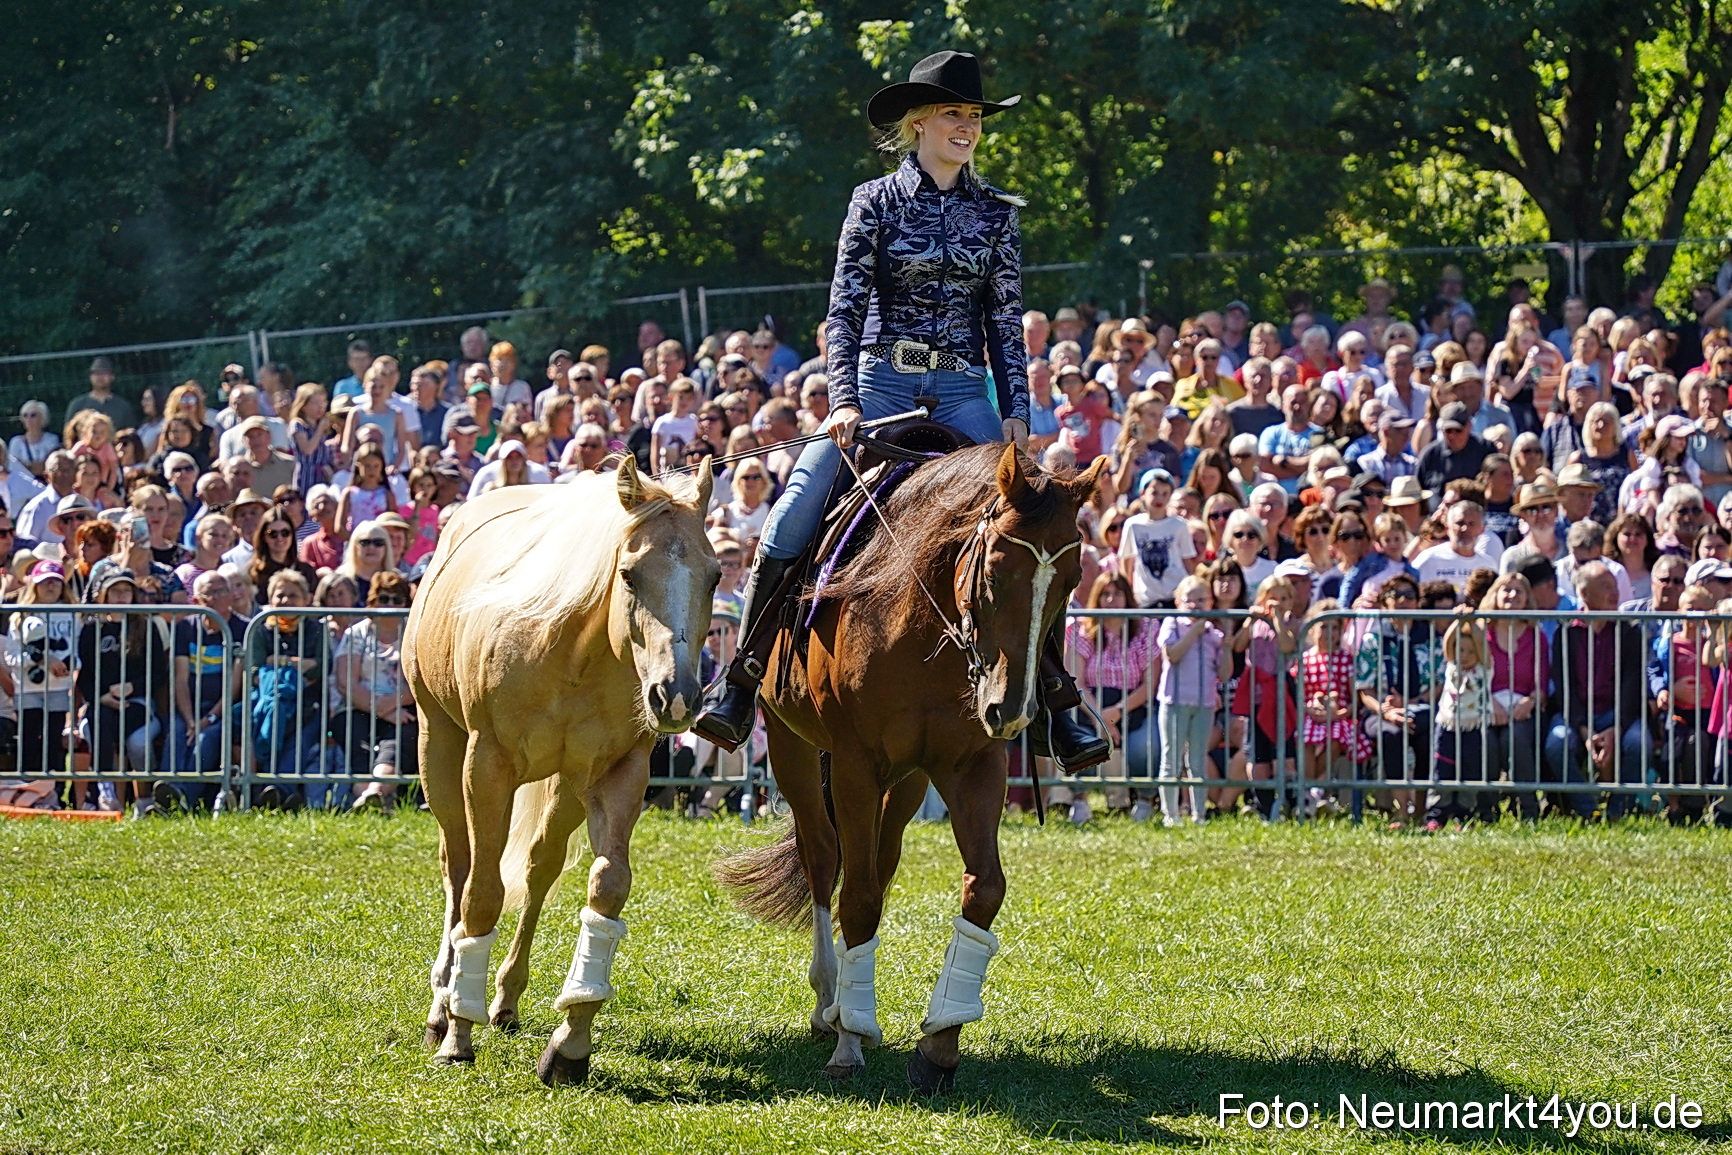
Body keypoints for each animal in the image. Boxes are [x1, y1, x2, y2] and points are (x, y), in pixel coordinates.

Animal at [405, 458, 719, 1084]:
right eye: (629, 575)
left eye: (716, 576)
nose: (676, 696)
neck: (573, 651)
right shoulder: (486, 765)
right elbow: (481, 893)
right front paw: (458, 1032)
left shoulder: (616, 774)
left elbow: (607, 887)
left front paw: (572, 1039)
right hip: (439, 748)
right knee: (458, 868)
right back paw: (443, 1001)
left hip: (568, 787)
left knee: (540, 867)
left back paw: (504, 998)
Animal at [715, 442, 1107, 1092]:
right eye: (994, 573)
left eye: (1070, 583)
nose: (1012, 709)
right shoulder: (853, 763)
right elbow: (857, 899)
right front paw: (849, 1042)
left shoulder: (972, 765)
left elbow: (983, 889)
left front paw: (938, 1045)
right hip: (794, 750)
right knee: (825, 859)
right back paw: (830, 1001)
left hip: (906, 783)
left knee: (880, 859)